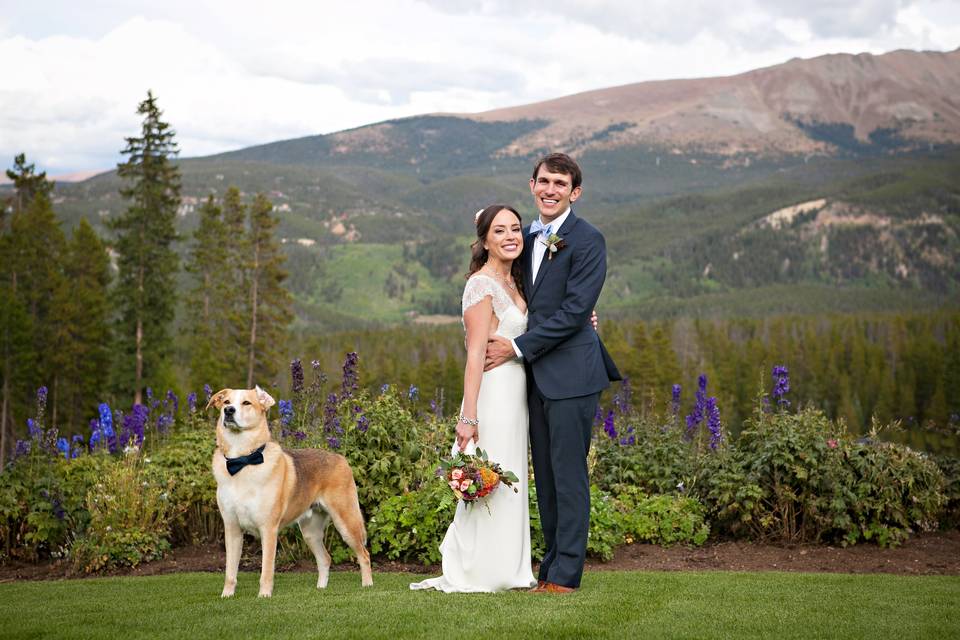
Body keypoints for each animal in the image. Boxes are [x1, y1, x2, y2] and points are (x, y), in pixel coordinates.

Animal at [208, 384, 374, 600]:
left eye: (246, 403)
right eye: (226, 402)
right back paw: (321, 588)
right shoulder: (232, 529)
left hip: (346, 522)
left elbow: (266, 570)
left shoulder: (268, 530)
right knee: (325, 558)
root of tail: (339, 457)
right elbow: (230, 571)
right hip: (311, 532)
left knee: (364, 554)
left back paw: (367, 585)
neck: (242, 462)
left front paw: (264, 595)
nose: (228, 411)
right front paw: (227, 596)